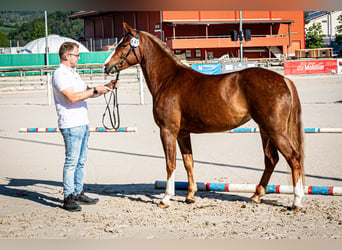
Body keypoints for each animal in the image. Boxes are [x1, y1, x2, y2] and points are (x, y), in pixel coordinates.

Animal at [103, 23, 304, 211]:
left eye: (124, 44)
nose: (106, 67)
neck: (168, 79)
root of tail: (283, 80)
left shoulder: (168, 131)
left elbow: (170, 163)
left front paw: (166, 198)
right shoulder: (183, 133)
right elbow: (188, 162)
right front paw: (190, 196)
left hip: (275, 131)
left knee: (293, 158)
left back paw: (297, 201)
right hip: (265, 130)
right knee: (271, 160)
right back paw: (256, 195)